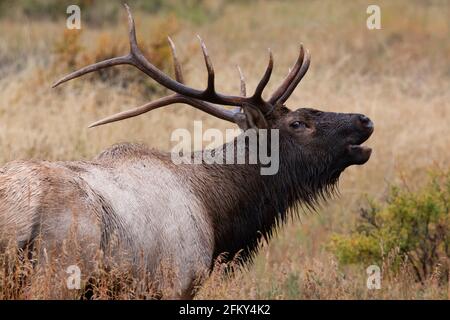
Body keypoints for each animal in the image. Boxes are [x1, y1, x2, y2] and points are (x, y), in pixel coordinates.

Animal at [0, 5, 372, 298]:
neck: (216, 213)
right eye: (298, 123)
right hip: (58, 270)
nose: (364, 119)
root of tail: (17, 217)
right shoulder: (175, 281)